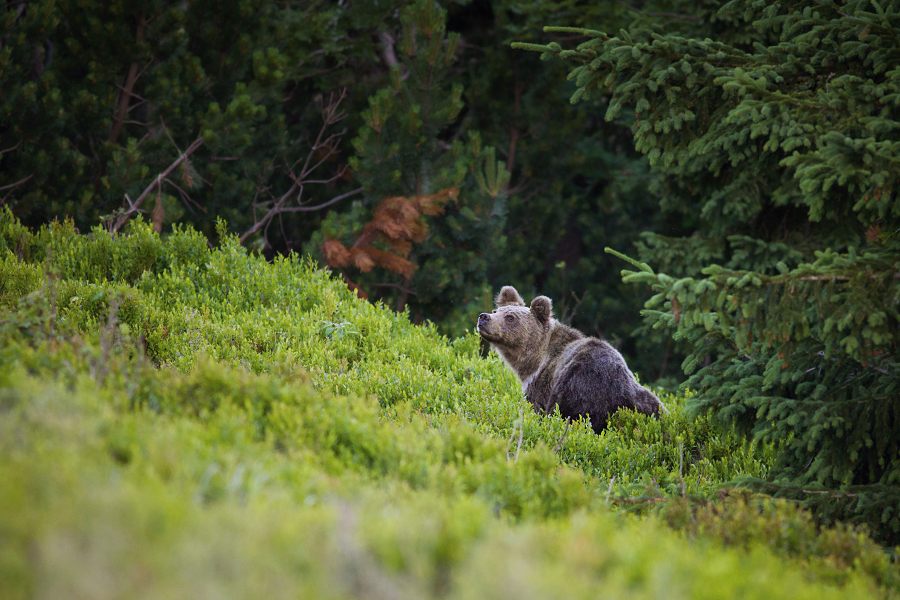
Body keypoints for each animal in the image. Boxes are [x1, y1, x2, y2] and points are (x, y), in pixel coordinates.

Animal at [478, 286, 660, 432]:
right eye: (496, 311)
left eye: (510, 317)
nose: (483, 317)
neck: (534, 361)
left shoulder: (541, 386)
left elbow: (536, 408)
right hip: (647, 402)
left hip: (575, 389)